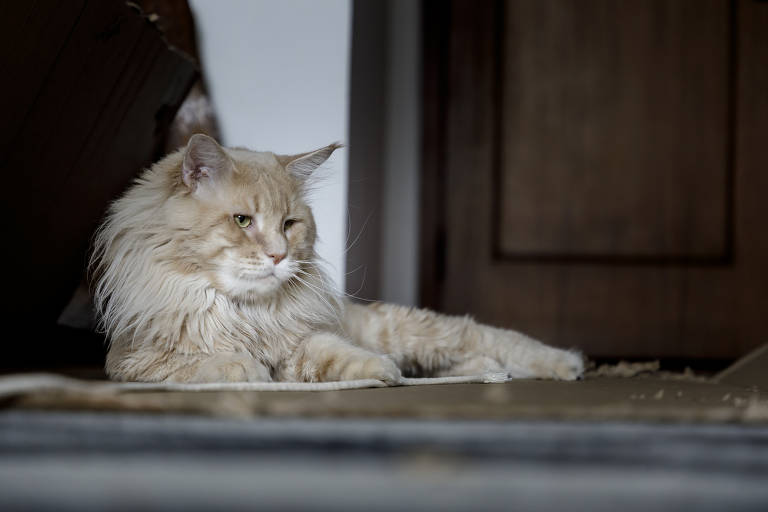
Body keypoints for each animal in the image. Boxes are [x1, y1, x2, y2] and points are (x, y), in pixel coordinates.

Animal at [91, 134, 584, 382]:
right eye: (243, 221)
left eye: (290, 224)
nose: (278, 255)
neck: (245, 314)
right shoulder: (133, 359)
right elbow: (202, 363)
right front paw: (246, 369)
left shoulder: (303, 342)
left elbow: (335, 355)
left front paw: (381, 372)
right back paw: (490, 372)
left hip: (408, 328)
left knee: (482, 336)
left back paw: (566, 364)